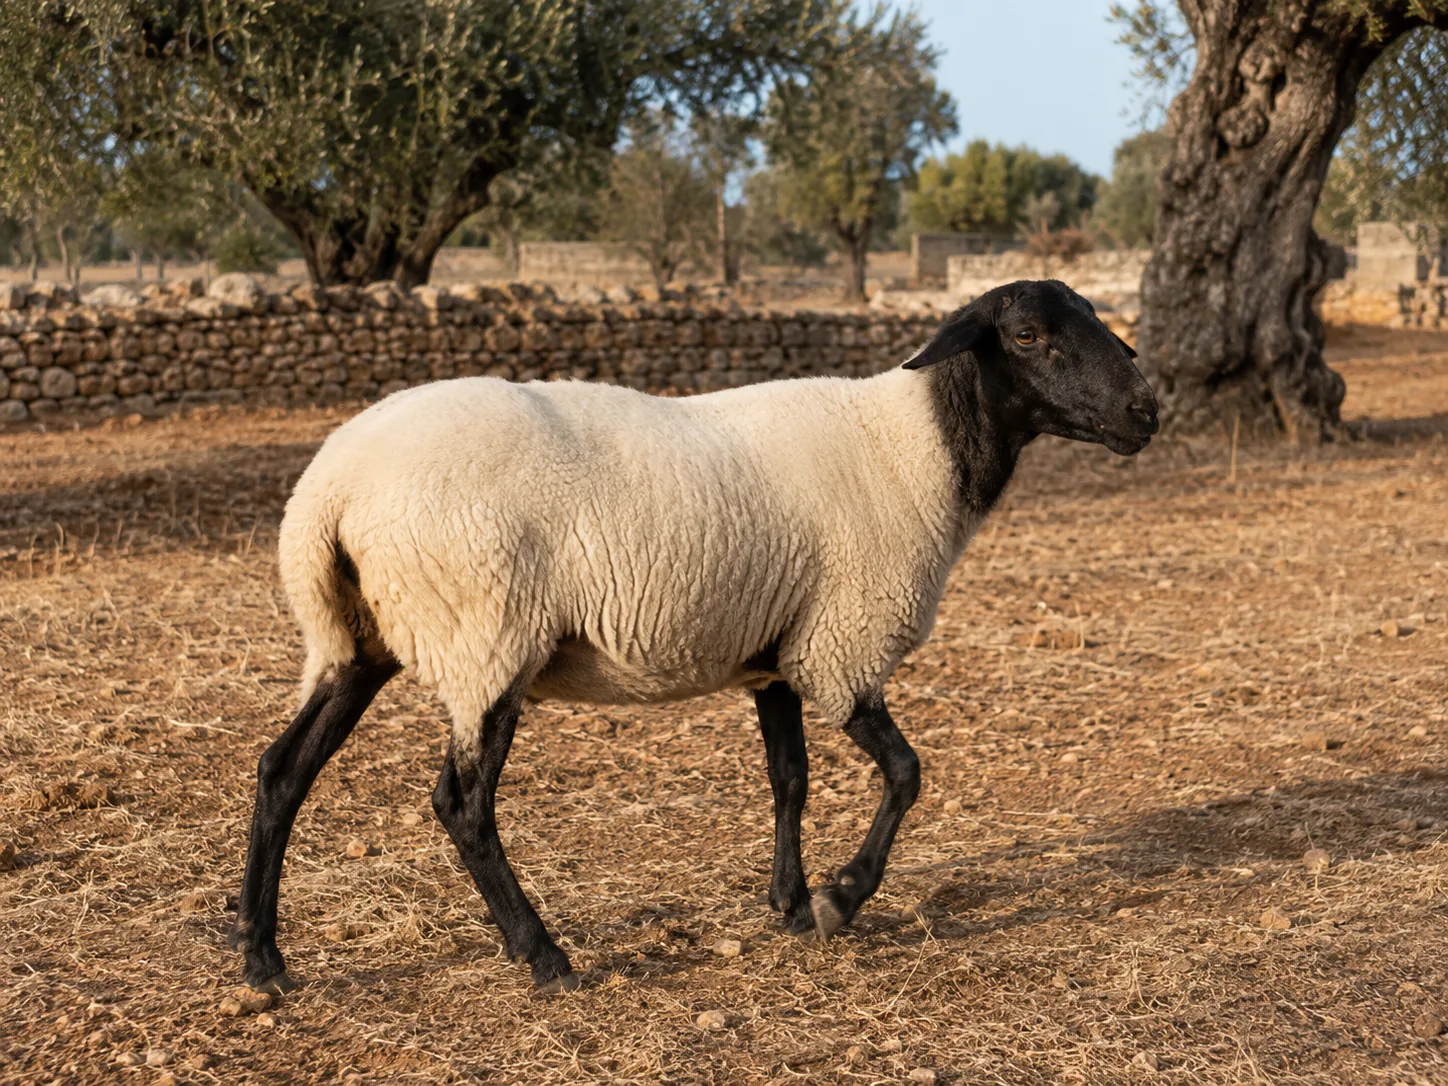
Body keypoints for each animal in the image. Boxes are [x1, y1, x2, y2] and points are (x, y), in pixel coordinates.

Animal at [228, 278, 1159, 994]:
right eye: (1029, 335)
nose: (1146, 412)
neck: (917, 447)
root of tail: (327, 493)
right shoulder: (842, 647)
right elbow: (905, 772)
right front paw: (842, 897)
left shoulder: (782, 651)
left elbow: (790, 779)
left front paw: (790, 903)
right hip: (487, 636)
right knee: (461, 805)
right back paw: (544, 956)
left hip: (360, 638)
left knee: (283, 770)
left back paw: (264, 960)